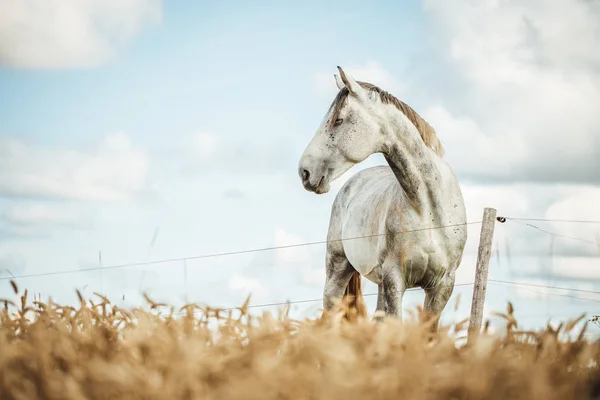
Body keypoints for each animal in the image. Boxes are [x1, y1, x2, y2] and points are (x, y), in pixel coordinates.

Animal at [298, 65, 468, 328]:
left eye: (338, 120)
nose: (305, 172)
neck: (427, 209)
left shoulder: (442, 286)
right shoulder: (395, 279)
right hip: (338, 270)